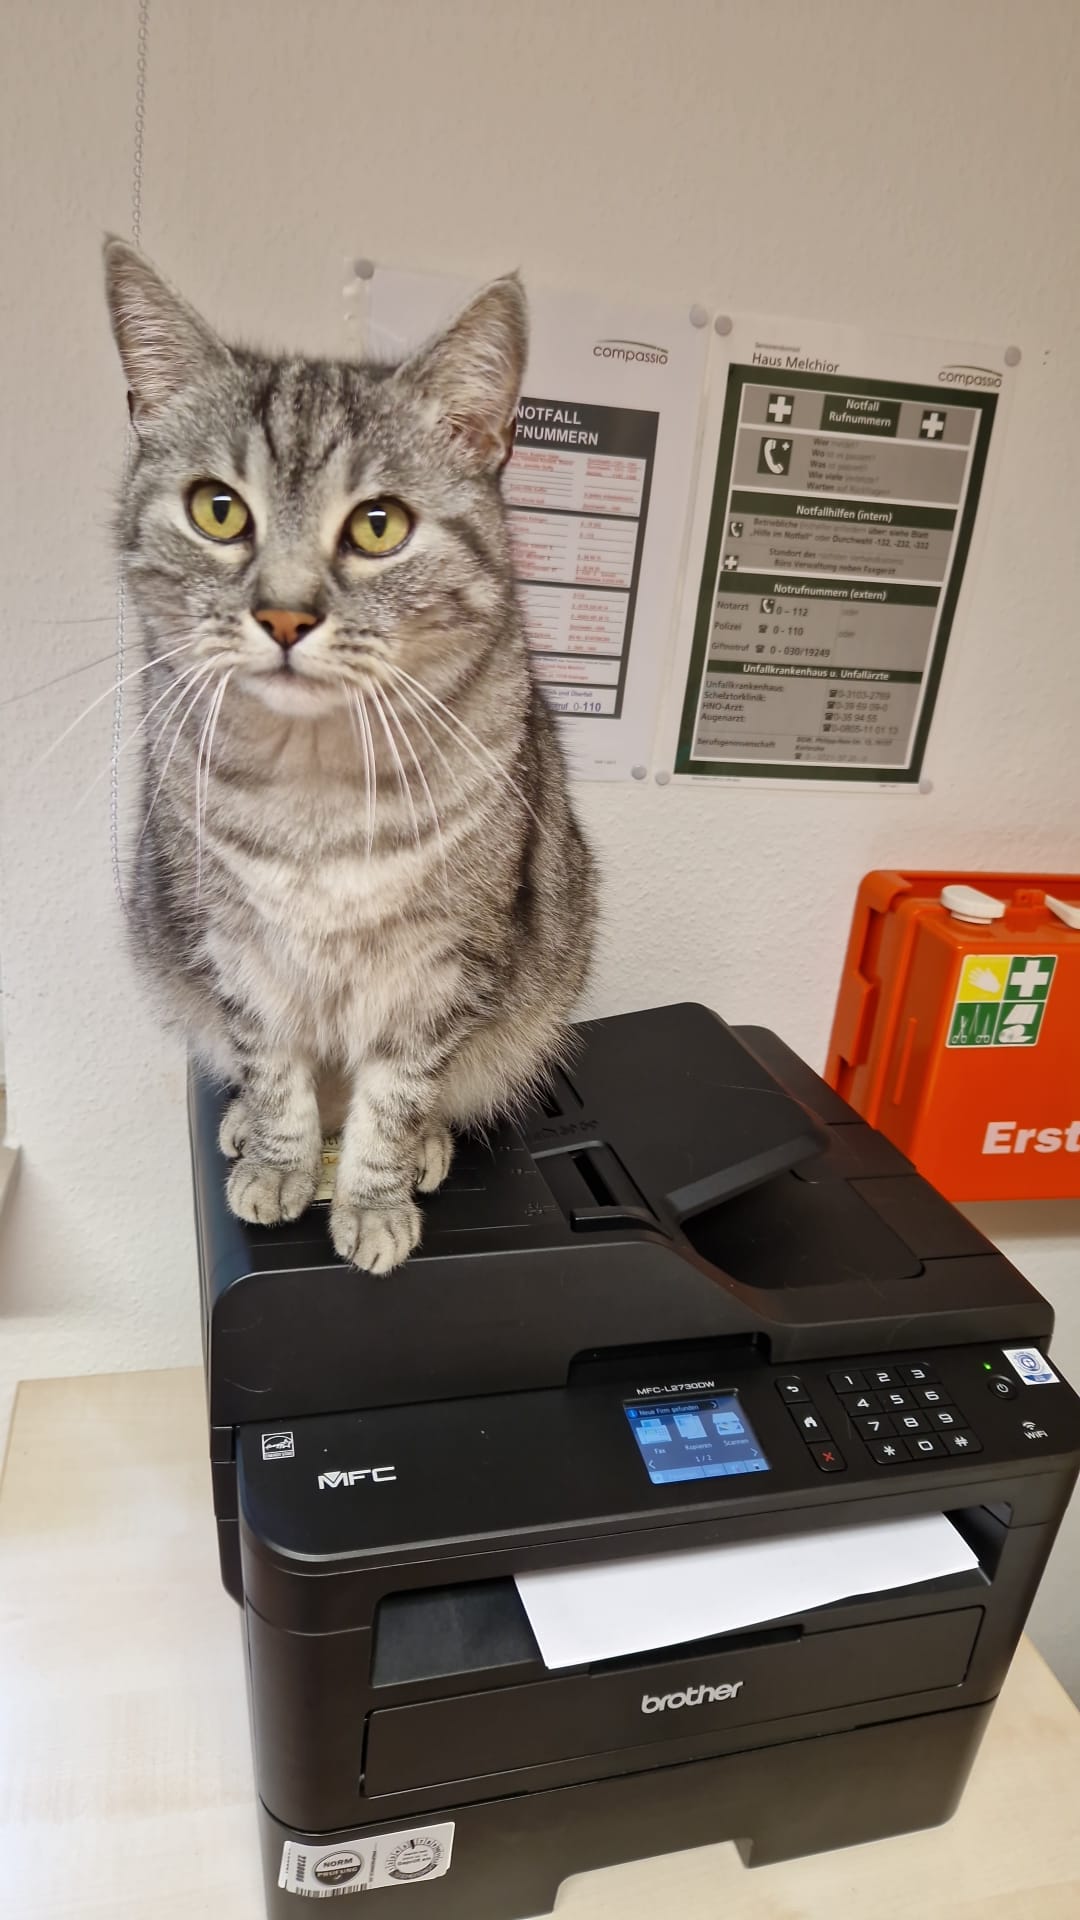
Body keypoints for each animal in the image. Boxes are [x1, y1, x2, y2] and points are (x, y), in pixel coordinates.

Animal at [104, 243, 591, 1274]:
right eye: (218, 511)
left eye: (378, 525)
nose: (285, 616)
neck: (313, 787)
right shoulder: (234, 947)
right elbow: (276, 1071)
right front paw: (280, 1164)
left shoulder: (443, 965)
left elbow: (394, 1097)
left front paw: (371, 1202)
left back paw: (427, 1148)